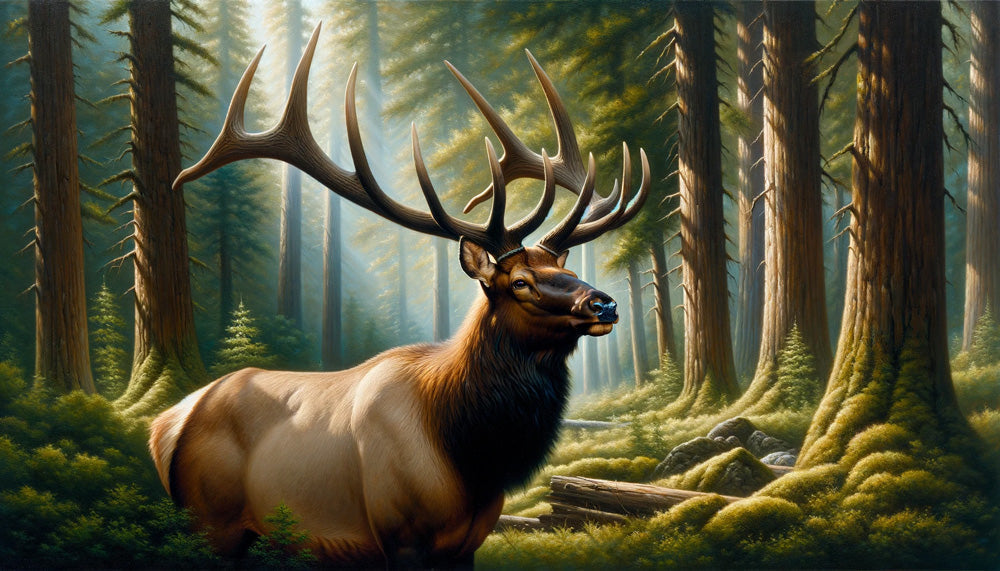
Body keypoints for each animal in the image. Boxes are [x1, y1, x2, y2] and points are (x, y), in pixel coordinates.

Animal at [149, 23, 649, 567]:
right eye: (519, 282)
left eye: (565, 268)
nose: (604, 303)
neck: (470, 457)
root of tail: (163, 427)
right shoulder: (401, 534)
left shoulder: (467, 542)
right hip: (209, 522)